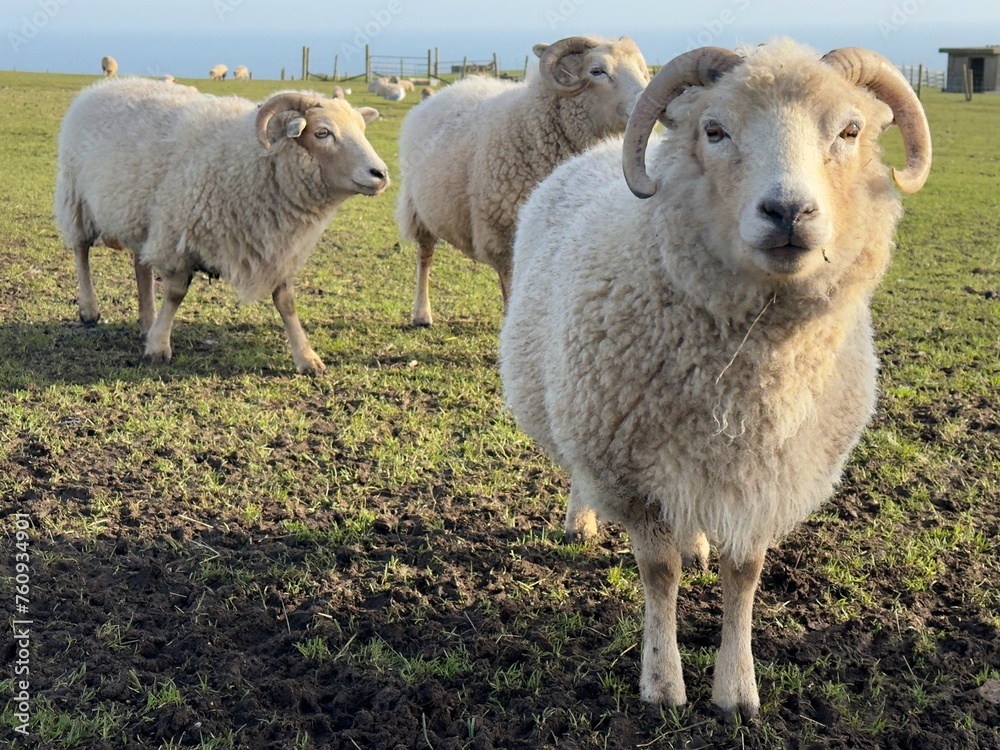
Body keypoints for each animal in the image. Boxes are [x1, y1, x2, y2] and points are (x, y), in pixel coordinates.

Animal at [54, 78, 389, 374]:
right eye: (322, 132)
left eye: (362, 129)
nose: (381, 174)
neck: (252, 159)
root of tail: (102, 86)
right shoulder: (179, 233)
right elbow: (175, 293)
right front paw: (159, 347)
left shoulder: (276, 243)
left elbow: (286, 302)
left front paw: (307, 358)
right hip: (77, 200)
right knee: (81, 251)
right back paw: (90, 309)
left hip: (141, 215)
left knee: (141, 266)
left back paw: (147, 320)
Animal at [395, 35, 649, 328]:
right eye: (597, 71)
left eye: (643, 70)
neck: (535, 131)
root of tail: (452, 89)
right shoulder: (502, 237)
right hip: (418, 211)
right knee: (425, 257)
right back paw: (421, 313)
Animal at [498, 39, 931, 719]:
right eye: (715, 130)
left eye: (850, 130)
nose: (789, 211)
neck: (748, 371)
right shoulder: (631, 473)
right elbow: (659, 575)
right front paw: (662, 684)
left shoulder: (763, 475)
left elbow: (744, 575)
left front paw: (736, 691)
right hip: (576, 412)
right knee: (579, 471)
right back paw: (582, 521)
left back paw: (697, 542)